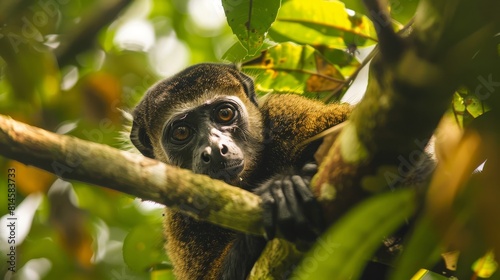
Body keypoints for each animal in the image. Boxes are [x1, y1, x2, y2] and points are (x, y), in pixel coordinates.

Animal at [130, 63, 352, 280]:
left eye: (224, 114)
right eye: (181, 132)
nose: (215, 149)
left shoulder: (287, 112)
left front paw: (285, 185)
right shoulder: (179, 218)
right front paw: (282, 192)